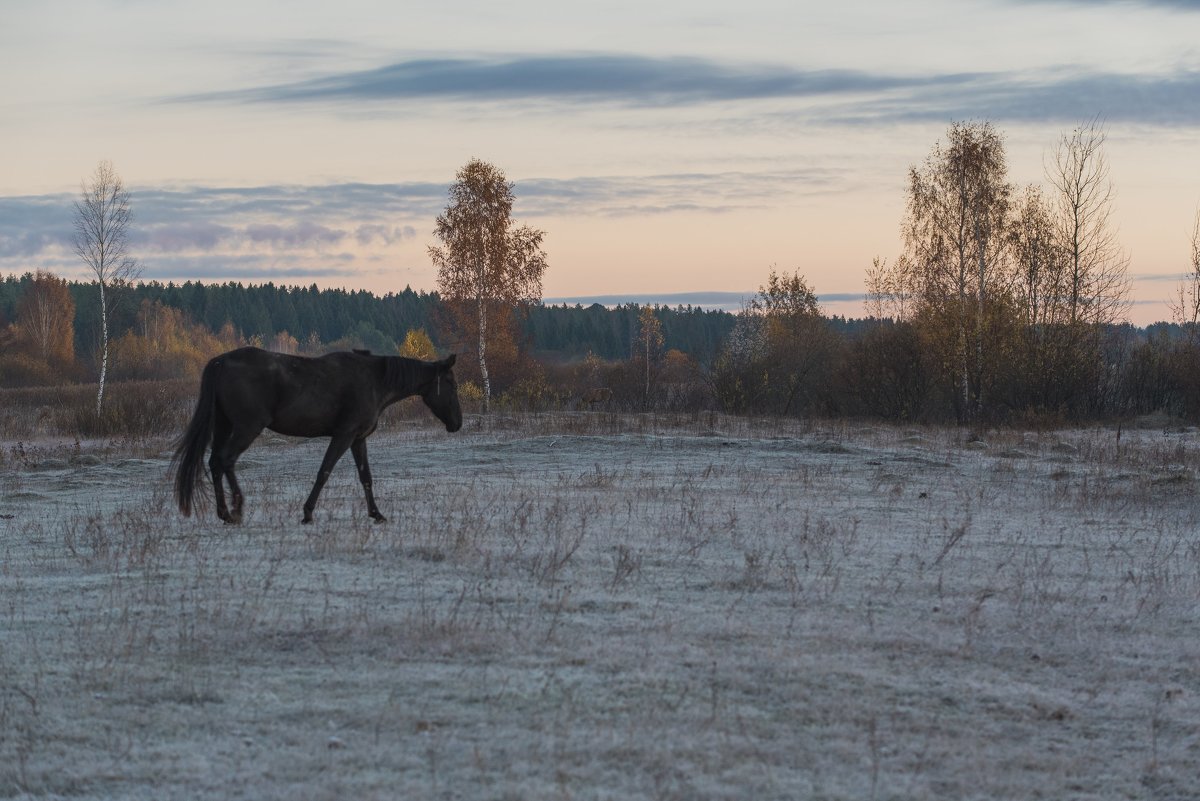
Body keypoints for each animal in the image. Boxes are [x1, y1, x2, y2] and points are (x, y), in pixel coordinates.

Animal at [171, 345, 460, 525]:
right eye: (450, 383)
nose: (457, 423)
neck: (375, 380)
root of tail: (220, 362)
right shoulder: (343, 435)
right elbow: (324, 472)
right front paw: (308, 513)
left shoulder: (358, 439)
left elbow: (366, 477)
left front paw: (376, 513)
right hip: (246, 428)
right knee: (226, 460)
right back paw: (236, 508)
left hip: (224, 425)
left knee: (215, 463)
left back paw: (224, 512)